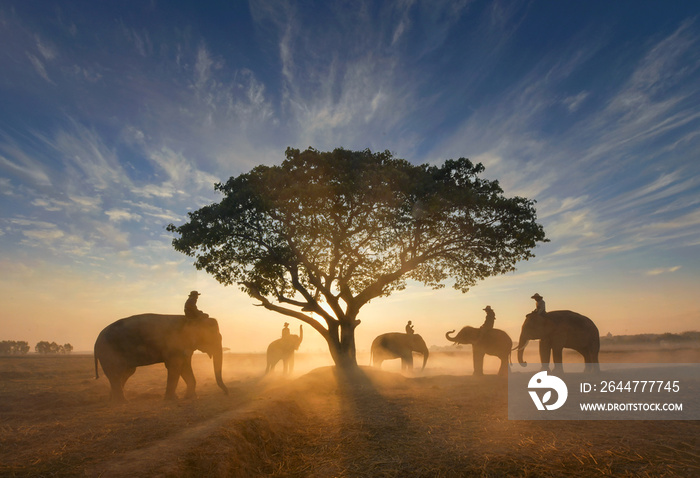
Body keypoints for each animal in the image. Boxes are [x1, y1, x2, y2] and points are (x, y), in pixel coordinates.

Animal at [93, 312, 228, 402]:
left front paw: (190, 398)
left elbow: (184, 367)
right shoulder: (175, 345)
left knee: (126, 373)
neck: (189, 319)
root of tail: (96, 342)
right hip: (109, 353)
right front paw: (171, 400)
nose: (226, 392)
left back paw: (112, 400)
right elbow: (175, 367)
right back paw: (122, 403)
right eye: (212, 336)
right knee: (117, 373)